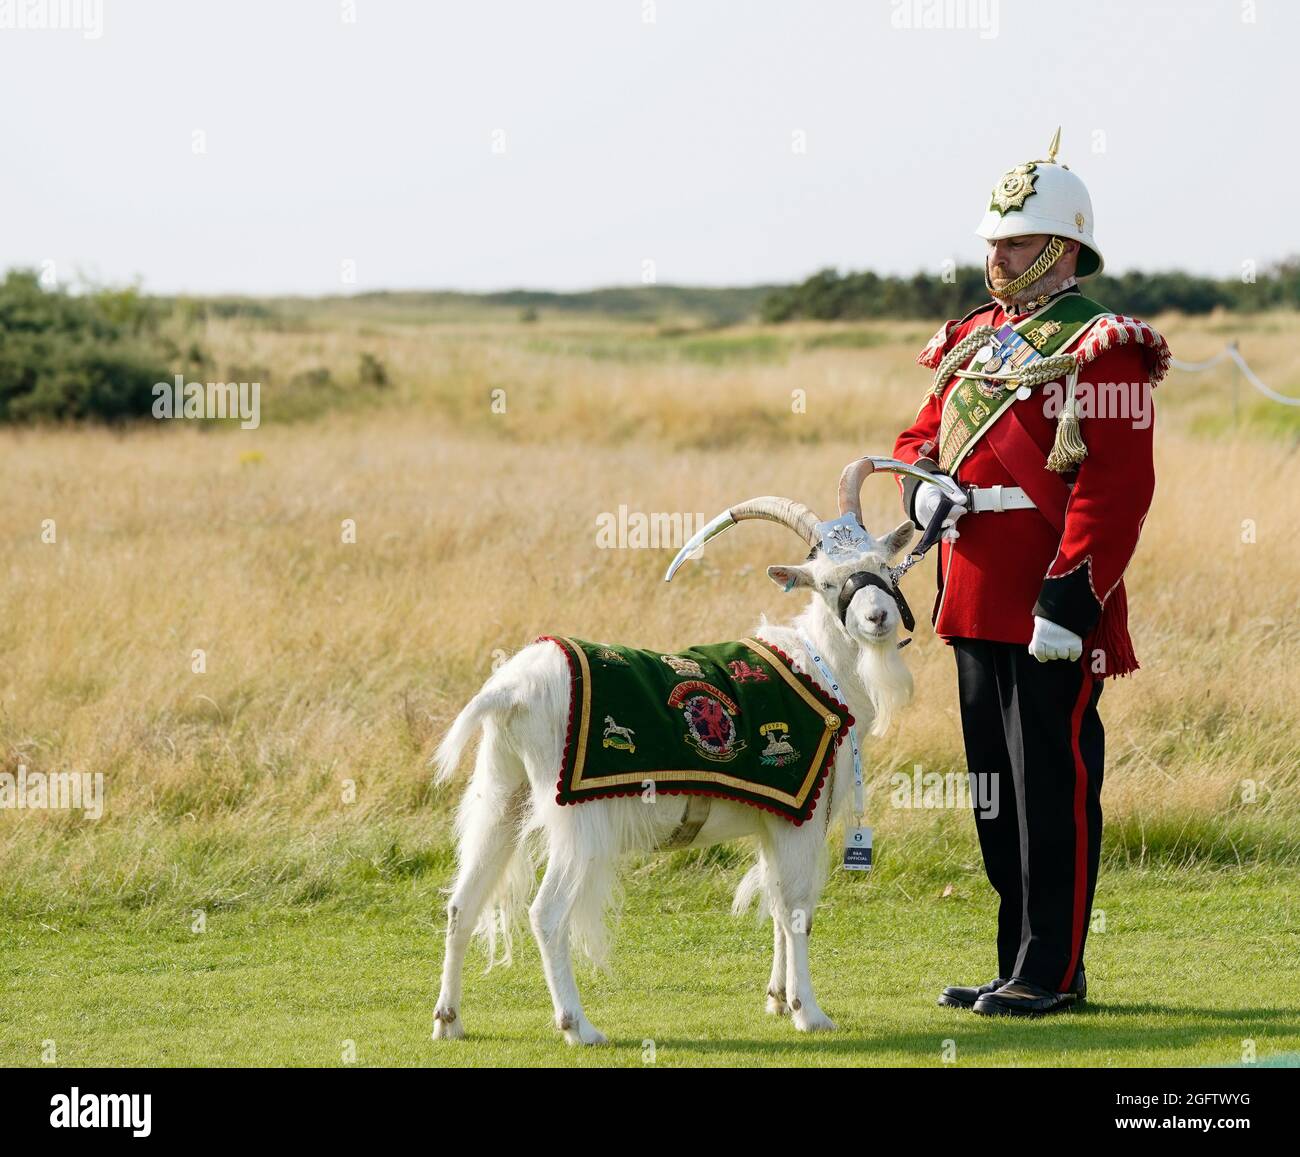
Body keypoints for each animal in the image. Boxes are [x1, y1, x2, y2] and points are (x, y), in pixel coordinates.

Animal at [432, 463, 916, 1044]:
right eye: (825, 582)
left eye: (882, 565)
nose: (877, 618)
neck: (820, 666)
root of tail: (509, 691)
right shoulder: (801, 812)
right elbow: (798, 908)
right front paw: (809, 1012)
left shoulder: (774, 815)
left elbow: (775, 902)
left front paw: (776, 999)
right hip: (575, 818)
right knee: (546, 914)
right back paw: (578, 1026)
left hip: (502, 792)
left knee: (461, 903)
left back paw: (448, 1021)